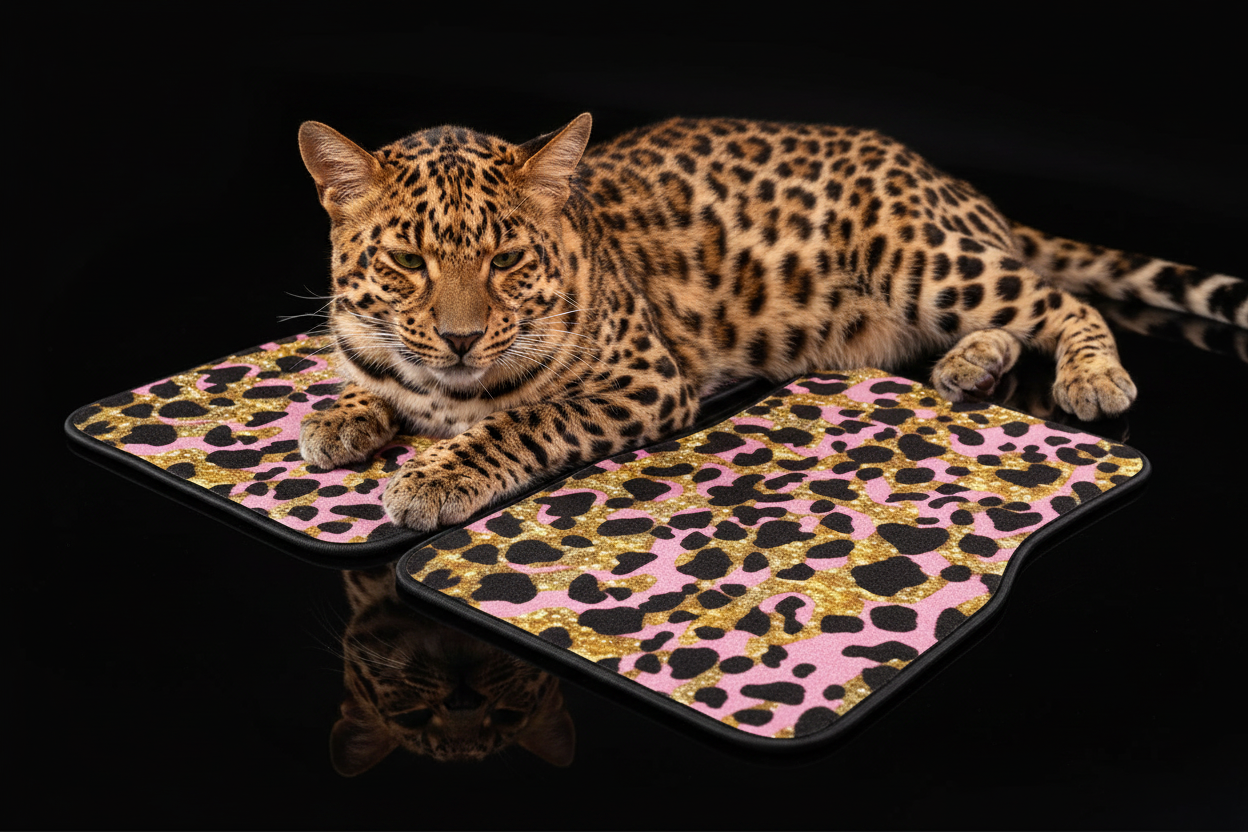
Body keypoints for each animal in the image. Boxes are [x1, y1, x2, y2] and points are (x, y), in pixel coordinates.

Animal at [296, 114, 1246, 532]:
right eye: (408, 260)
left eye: (505, 261)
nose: (460, 337)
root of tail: (946, 178)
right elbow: (370, 373)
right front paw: (342, 417)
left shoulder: (642, 378)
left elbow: (524, 417)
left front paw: (434, 476)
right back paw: (968, 367)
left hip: (921, 256)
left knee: (1057, 300)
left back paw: (1093, 376)